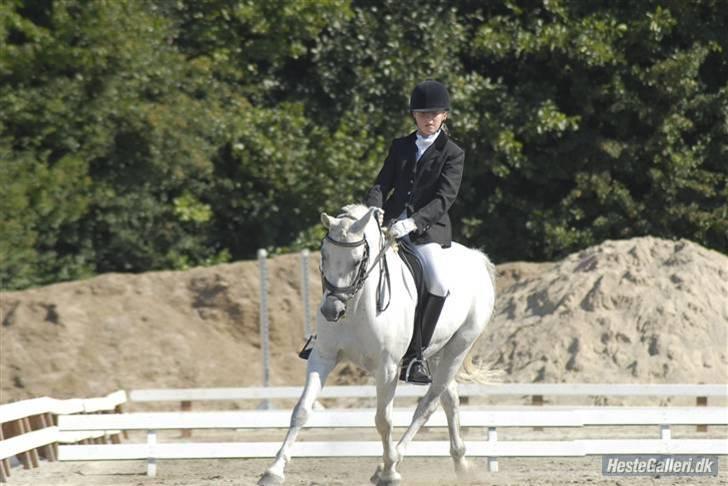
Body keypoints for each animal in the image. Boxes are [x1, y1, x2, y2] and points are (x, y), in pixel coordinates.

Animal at [258, 204, 494, 486]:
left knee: (428, 405)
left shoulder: (387, 368)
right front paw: (274, 470)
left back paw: (393, 461)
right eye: (324, 255)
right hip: (437, 352)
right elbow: (302, 410)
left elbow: (384, 420)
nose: (331, 311)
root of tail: (476, 258)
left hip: (459, 347)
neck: (356, 304)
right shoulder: (322, 357)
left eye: (358, 260)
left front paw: (390, 471)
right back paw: (460, 462)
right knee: (450, 398)